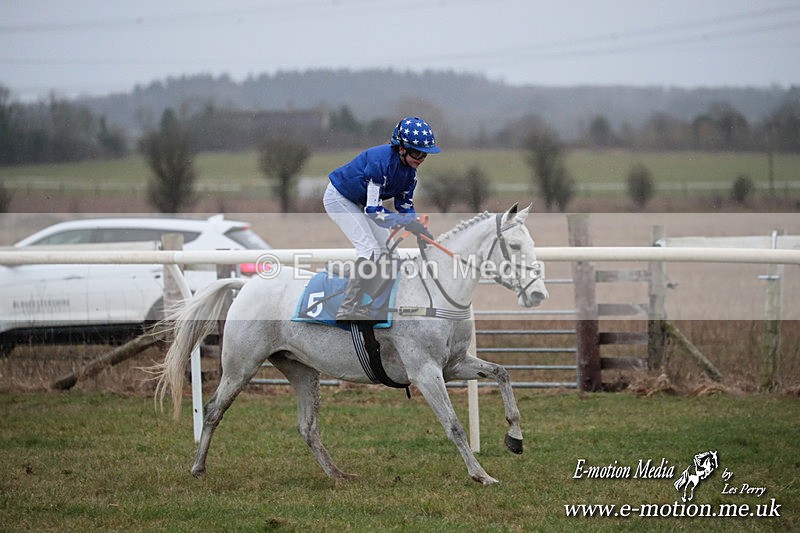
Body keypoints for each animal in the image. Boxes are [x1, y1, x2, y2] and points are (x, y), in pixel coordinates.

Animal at [153, 203, 548, 485]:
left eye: (531, 244)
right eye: (514, 245)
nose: (539, 295)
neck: (435, 290)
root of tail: (245, 285)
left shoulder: (454, 364)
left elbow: (502, 373)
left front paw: (515, 437)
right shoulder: (425, 371)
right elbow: (453, 424)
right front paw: (481, 474)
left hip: (300, 368)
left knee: (307, 426)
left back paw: (338, 474)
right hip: (241, 365)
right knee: (214, 409)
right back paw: (198, 467)